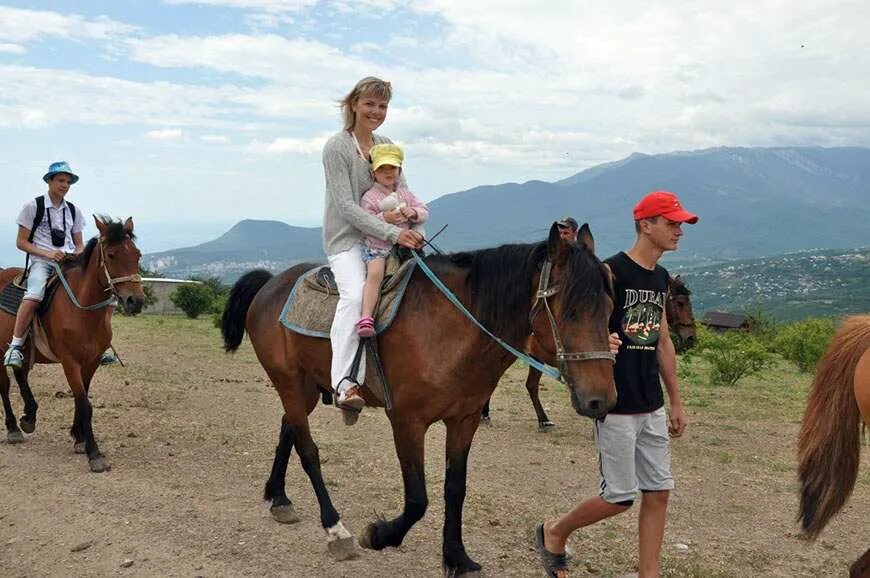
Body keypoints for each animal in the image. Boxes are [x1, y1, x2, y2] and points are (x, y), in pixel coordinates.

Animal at [0, 218, 145, 470]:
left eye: (137, 255)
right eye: (111, 255)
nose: (135, 301)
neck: (82, 311)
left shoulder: (92, 361)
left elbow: (82, 398)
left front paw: (79, 438)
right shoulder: (70, 362)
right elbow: (85, 403)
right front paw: (94, 453)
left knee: (21, 376)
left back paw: (29, 417)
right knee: (4, 385)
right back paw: (13, 428)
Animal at [221, 223, 616, 572]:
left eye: (610, 309)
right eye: (571, 312)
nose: (602, 400)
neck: (451, 329)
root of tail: (270, 283)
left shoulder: (465, 420)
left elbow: (455, 489)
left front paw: (456, 557)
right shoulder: (407, 421)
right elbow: (417, 499)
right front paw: (379, 535)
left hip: (306, 389)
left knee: (288, 428)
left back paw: (279, 498)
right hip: (289, 382)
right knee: (308, 450)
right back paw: (335, 529)